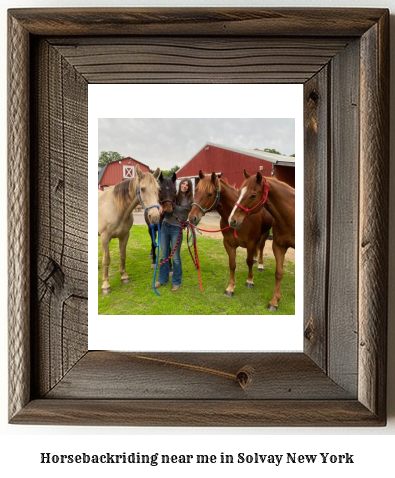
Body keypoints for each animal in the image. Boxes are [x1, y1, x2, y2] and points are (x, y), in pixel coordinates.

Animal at [99, 165, 161, 296]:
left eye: (158, 189)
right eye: (142, 189)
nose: (155, 217)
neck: (117, 207)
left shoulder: (124, 235)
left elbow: (123, 256)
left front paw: (124, 277)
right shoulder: (105, 238)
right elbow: (106, 260)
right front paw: (106, 285)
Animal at [227, 170, 296, 312]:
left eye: (253, 195)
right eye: (239, 192)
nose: (232, 220)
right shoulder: (279, 246)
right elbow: (278, 273)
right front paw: (274, 301)